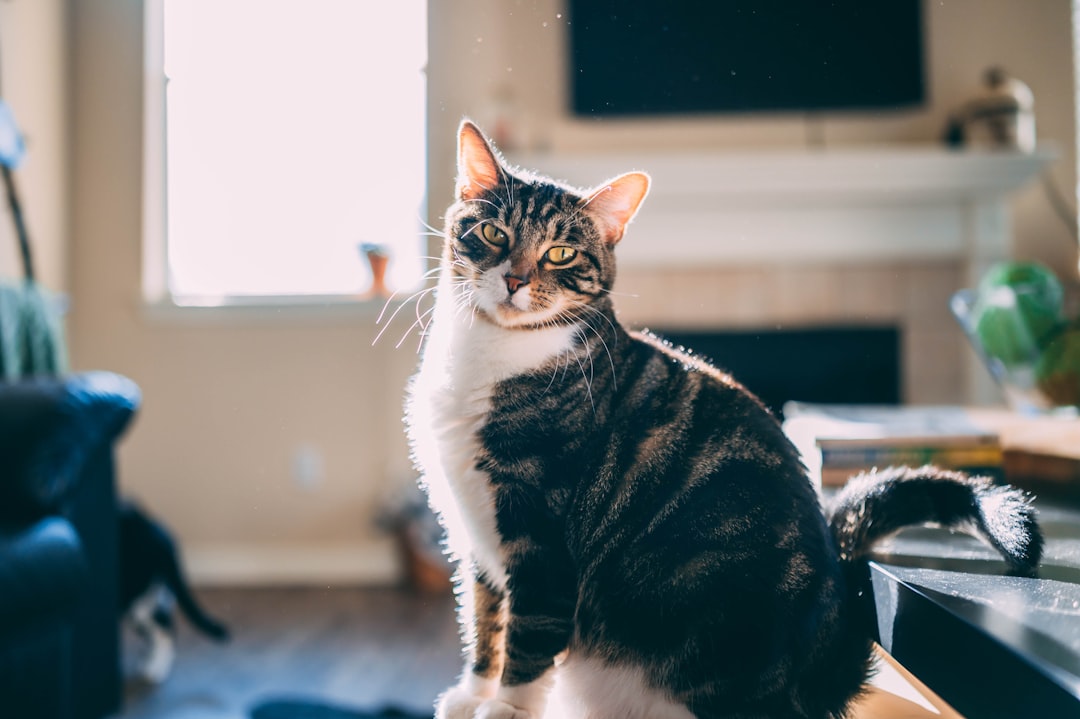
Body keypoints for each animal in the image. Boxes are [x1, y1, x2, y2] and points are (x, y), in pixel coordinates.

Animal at [403, 121, 1036, 716]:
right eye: (493, 233)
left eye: (560, 253)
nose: (515, 280)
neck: (490, 356)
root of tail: (821, 669)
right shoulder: (476, 534)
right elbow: (485, 617)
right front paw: (472, 693)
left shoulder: (541, 539)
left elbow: (529, 635)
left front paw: (506, 706)